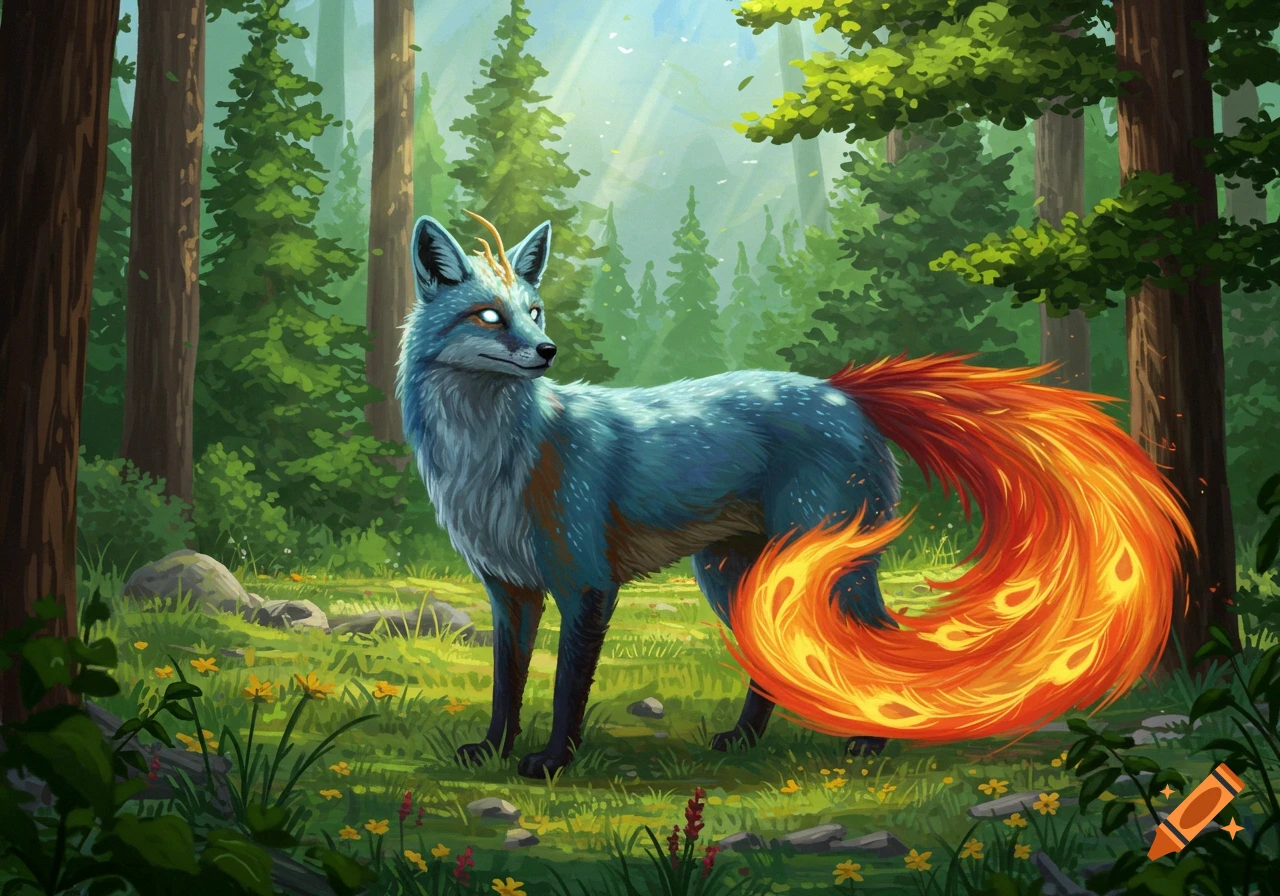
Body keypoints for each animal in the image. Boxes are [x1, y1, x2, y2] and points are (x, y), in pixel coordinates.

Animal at [396, 212, 1192, 779]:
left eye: (534, 310)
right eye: (491, 316)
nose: (547, 351)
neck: (494, 463)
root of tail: (842, 392)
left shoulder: (586, 585)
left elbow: (565, 689)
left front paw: (551, 763)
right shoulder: (509, 591)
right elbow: (506, 683)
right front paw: (495, 750)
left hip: (827, 569)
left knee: (880, 644)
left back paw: (872, 744)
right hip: (731, 575)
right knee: (773, 661)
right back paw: (745, 739)